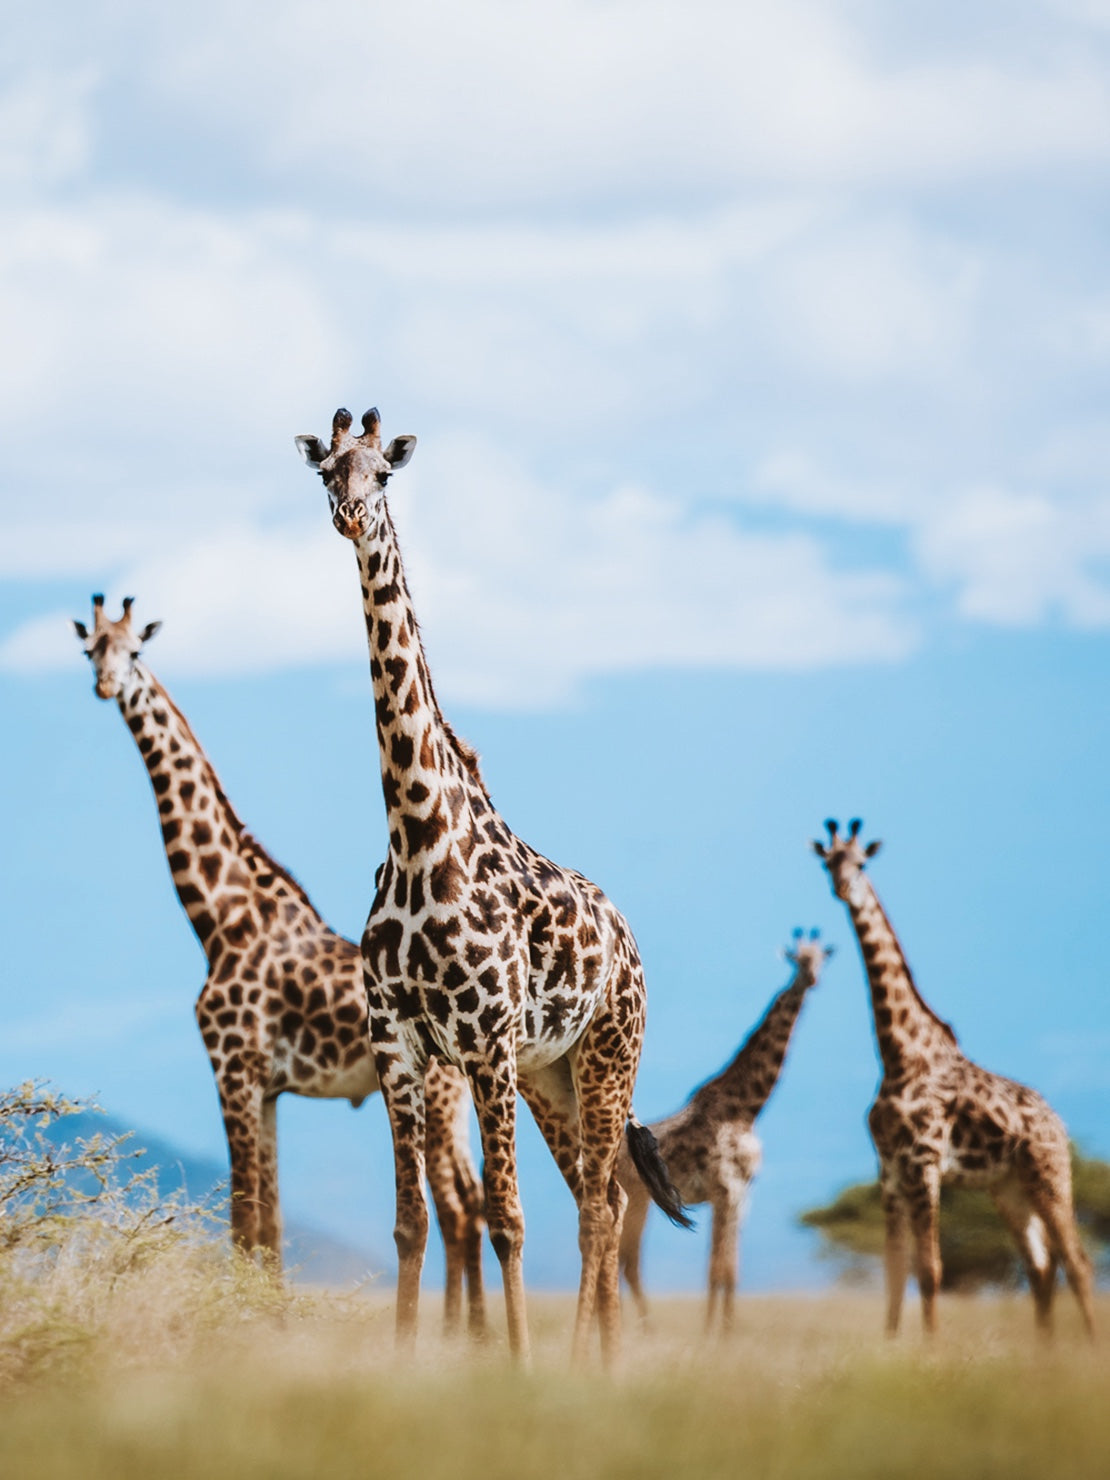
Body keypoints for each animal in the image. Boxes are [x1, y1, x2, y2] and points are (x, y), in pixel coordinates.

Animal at [71, 595, 486, 1335]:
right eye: (91, 649)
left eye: (134, 651)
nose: (106, 685)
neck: (220, 919)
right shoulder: (267, 1087)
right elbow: (270, 1225)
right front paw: (267, 1325)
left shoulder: (232, 1067)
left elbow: (244, 1221)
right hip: (452, 1099)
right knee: (471, 1208)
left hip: (436, 1093)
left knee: (460, 1211)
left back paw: (458, 1341)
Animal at [295, 406, 688, 1366]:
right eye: (326, 470)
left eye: (382, 474)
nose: (350, 517)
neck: (418, 837)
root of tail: (628, 940)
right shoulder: (399, 1045)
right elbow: (410, 1223)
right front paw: (405, 1364)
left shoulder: (484, 1043)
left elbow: (507, 1218)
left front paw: (514, 1367)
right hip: (552, 1073)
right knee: (600, 1196)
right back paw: (595, 1363)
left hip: (605, 1051)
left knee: (596, 1206)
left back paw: (593, 1367)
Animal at [617, 929, 832, 1333]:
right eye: (798, 960)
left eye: (821, 959)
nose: (811, 980)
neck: (746, 1108)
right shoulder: (725, 1189)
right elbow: (718, 1268)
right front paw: (714, 1333)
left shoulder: (743, 1194)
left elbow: (729, 1269)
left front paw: (725, 1329)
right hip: (639, 1198)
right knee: (629, 1261)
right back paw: (646, 1328)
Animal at [814, 817, 1095, 1339]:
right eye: (829, 862)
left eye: (861, 863)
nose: (843, 889)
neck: (899, 1054)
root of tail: (1058, 1122)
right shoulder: (888, 1168)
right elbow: (894, 1270)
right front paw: (891, 1345)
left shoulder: (924, 1162)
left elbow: (930, 1269)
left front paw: (930, 1348)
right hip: (1008, 1187)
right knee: (1040, 1266)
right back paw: (1044, 1354)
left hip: (1049, 1174)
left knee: (1077, 1262)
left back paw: (1086, 1348)